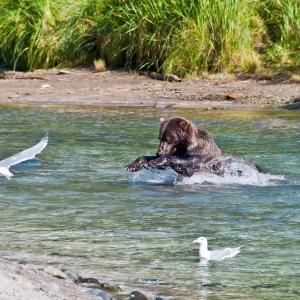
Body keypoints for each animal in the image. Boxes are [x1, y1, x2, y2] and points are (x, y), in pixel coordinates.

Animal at [125, 116, 262, 177]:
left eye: (168, 139)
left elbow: (187, 163)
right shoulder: (176, 151)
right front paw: (133, 165)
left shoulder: (200, 156)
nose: (158, 152)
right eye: (160, 138)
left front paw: (156, 161)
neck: (183, 146)